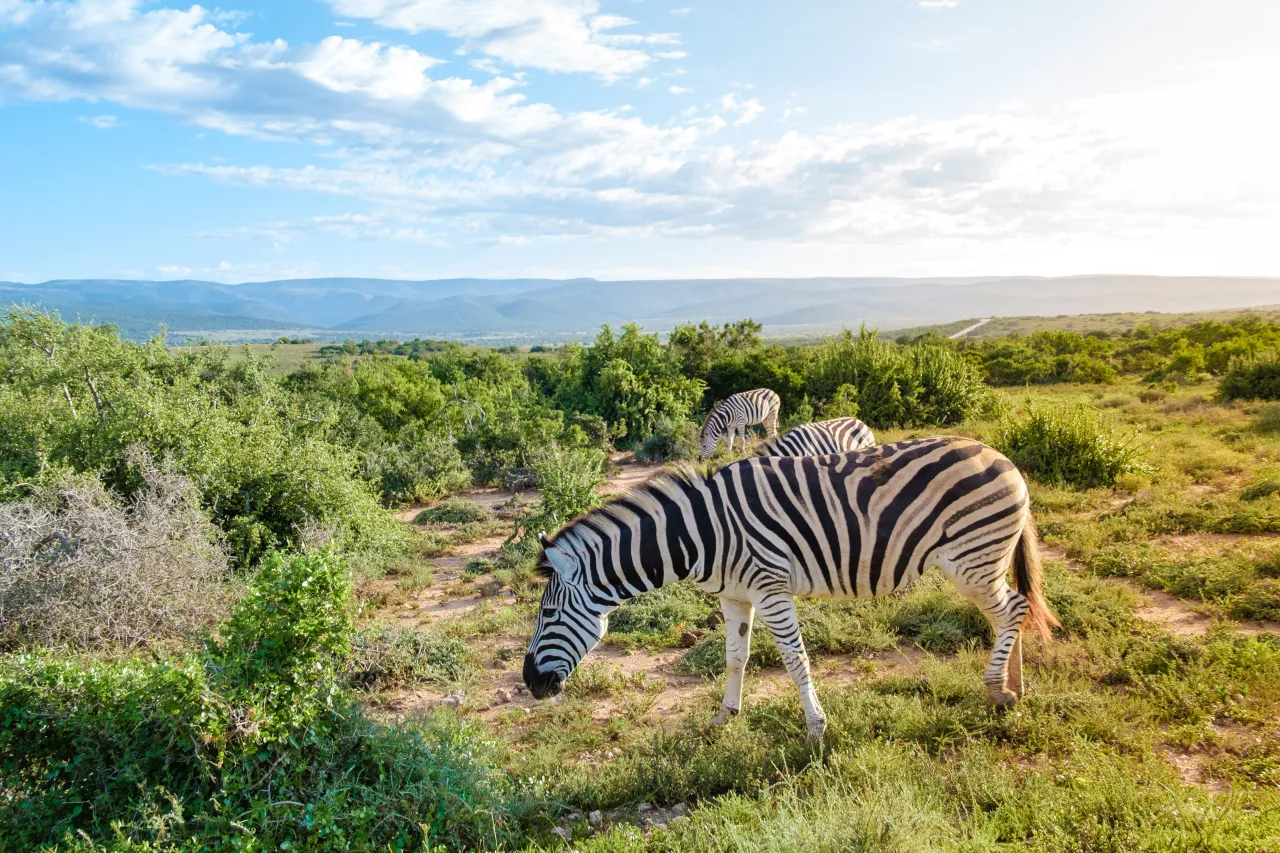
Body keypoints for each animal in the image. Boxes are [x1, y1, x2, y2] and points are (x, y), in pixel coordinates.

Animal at [523, 436, 1058, 740]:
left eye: (547, 616)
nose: (530, 684)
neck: (699, 535)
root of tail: (1002, 456)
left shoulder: (770, 587)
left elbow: (795, 658)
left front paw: (816, 730)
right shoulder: (734, 595)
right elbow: (735, 657)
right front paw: (725, 717)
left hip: (972, 559)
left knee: (1013, 610)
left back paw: (996, 690)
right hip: (981, 560)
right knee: (1012, 612)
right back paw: (1015, 687)